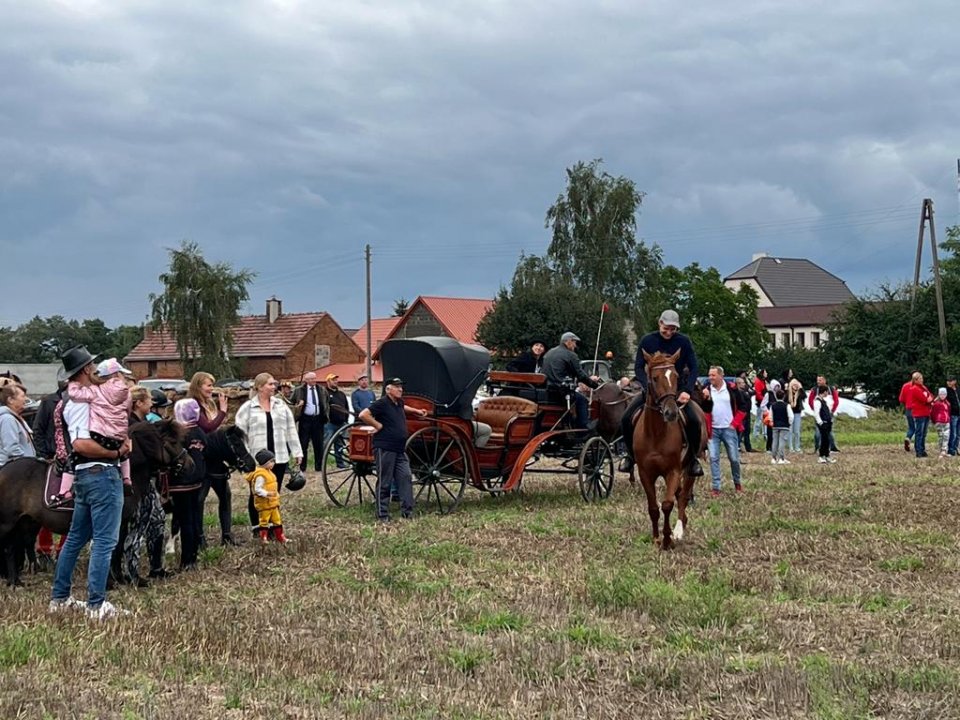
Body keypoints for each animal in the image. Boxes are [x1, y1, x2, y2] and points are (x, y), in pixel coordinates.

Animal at [632, 352, 708, 548]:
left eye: (675, 376)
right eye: (654, 378)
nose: (671, 412)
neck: (656, 433)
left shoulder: (672, 471)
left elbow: (667, 504)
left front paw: (667, 539)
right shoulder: (645, 473)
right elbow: (653, 507)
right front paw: (656, 538)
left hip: (688, 468)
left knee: (683, 496)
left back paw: (679, 529)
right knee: (680, 494)